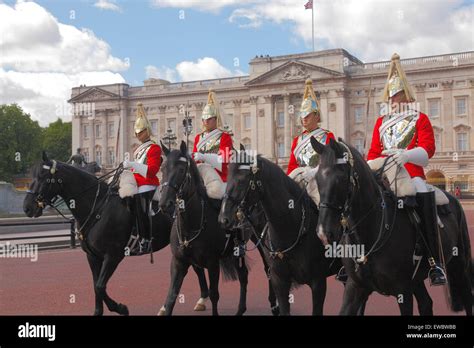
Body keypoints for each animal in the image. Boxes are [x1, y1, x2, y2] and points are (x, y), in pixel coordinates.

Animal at [23, 152, 209, 316]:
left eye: (44, 177)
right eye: (33, 176)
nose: (27, 207)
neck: (98, 205)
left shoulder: (113, 255)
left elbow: (100, 286)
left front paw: (121, 308)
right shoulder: (92, 256)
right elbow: (96, 285)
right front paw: (98, 312)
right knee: (196, 268)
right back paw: (200, 300)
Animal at [312, 138, 470, 316]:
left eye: (340, 179)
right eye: (317, 179)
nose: (323, 233)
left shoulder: (403, 290)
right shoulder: (355, 287)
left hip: (458, 263)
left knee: (467, 296)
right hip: (417, 279)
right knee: (426, 303)